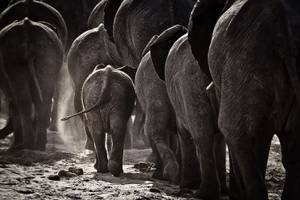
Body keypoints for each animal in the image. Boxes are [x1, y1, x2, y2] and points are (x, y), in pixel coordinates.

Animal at [0, 18, 63, 150]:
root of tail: (27, 26)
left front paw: (15, 146)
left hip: (12, 56)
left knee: (23, 100)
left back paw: (26, 146)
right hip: (47, 55)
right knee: (44, 97)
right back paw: (38, 146)